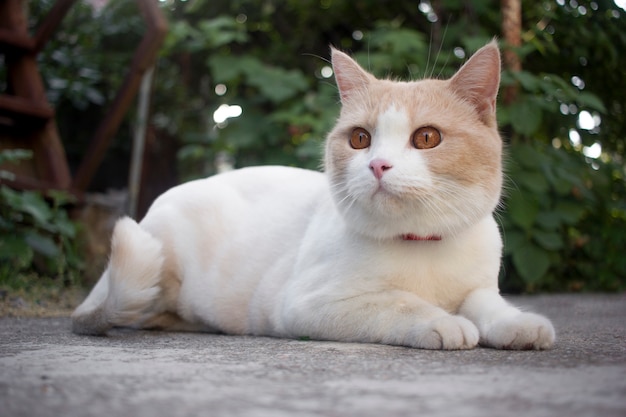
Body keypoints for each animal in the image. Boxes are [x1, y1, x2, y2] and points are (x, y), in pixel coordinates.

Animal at [70, 41, 552, 348]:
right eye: (360, 139)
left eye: (427, 137)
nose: (378, 165)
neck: (421, 244)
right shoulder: (308, 304)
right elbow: (398, 302)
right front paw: (443, 322)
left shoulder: (479, 287)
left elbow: (488, 305)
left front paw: (518, 324)